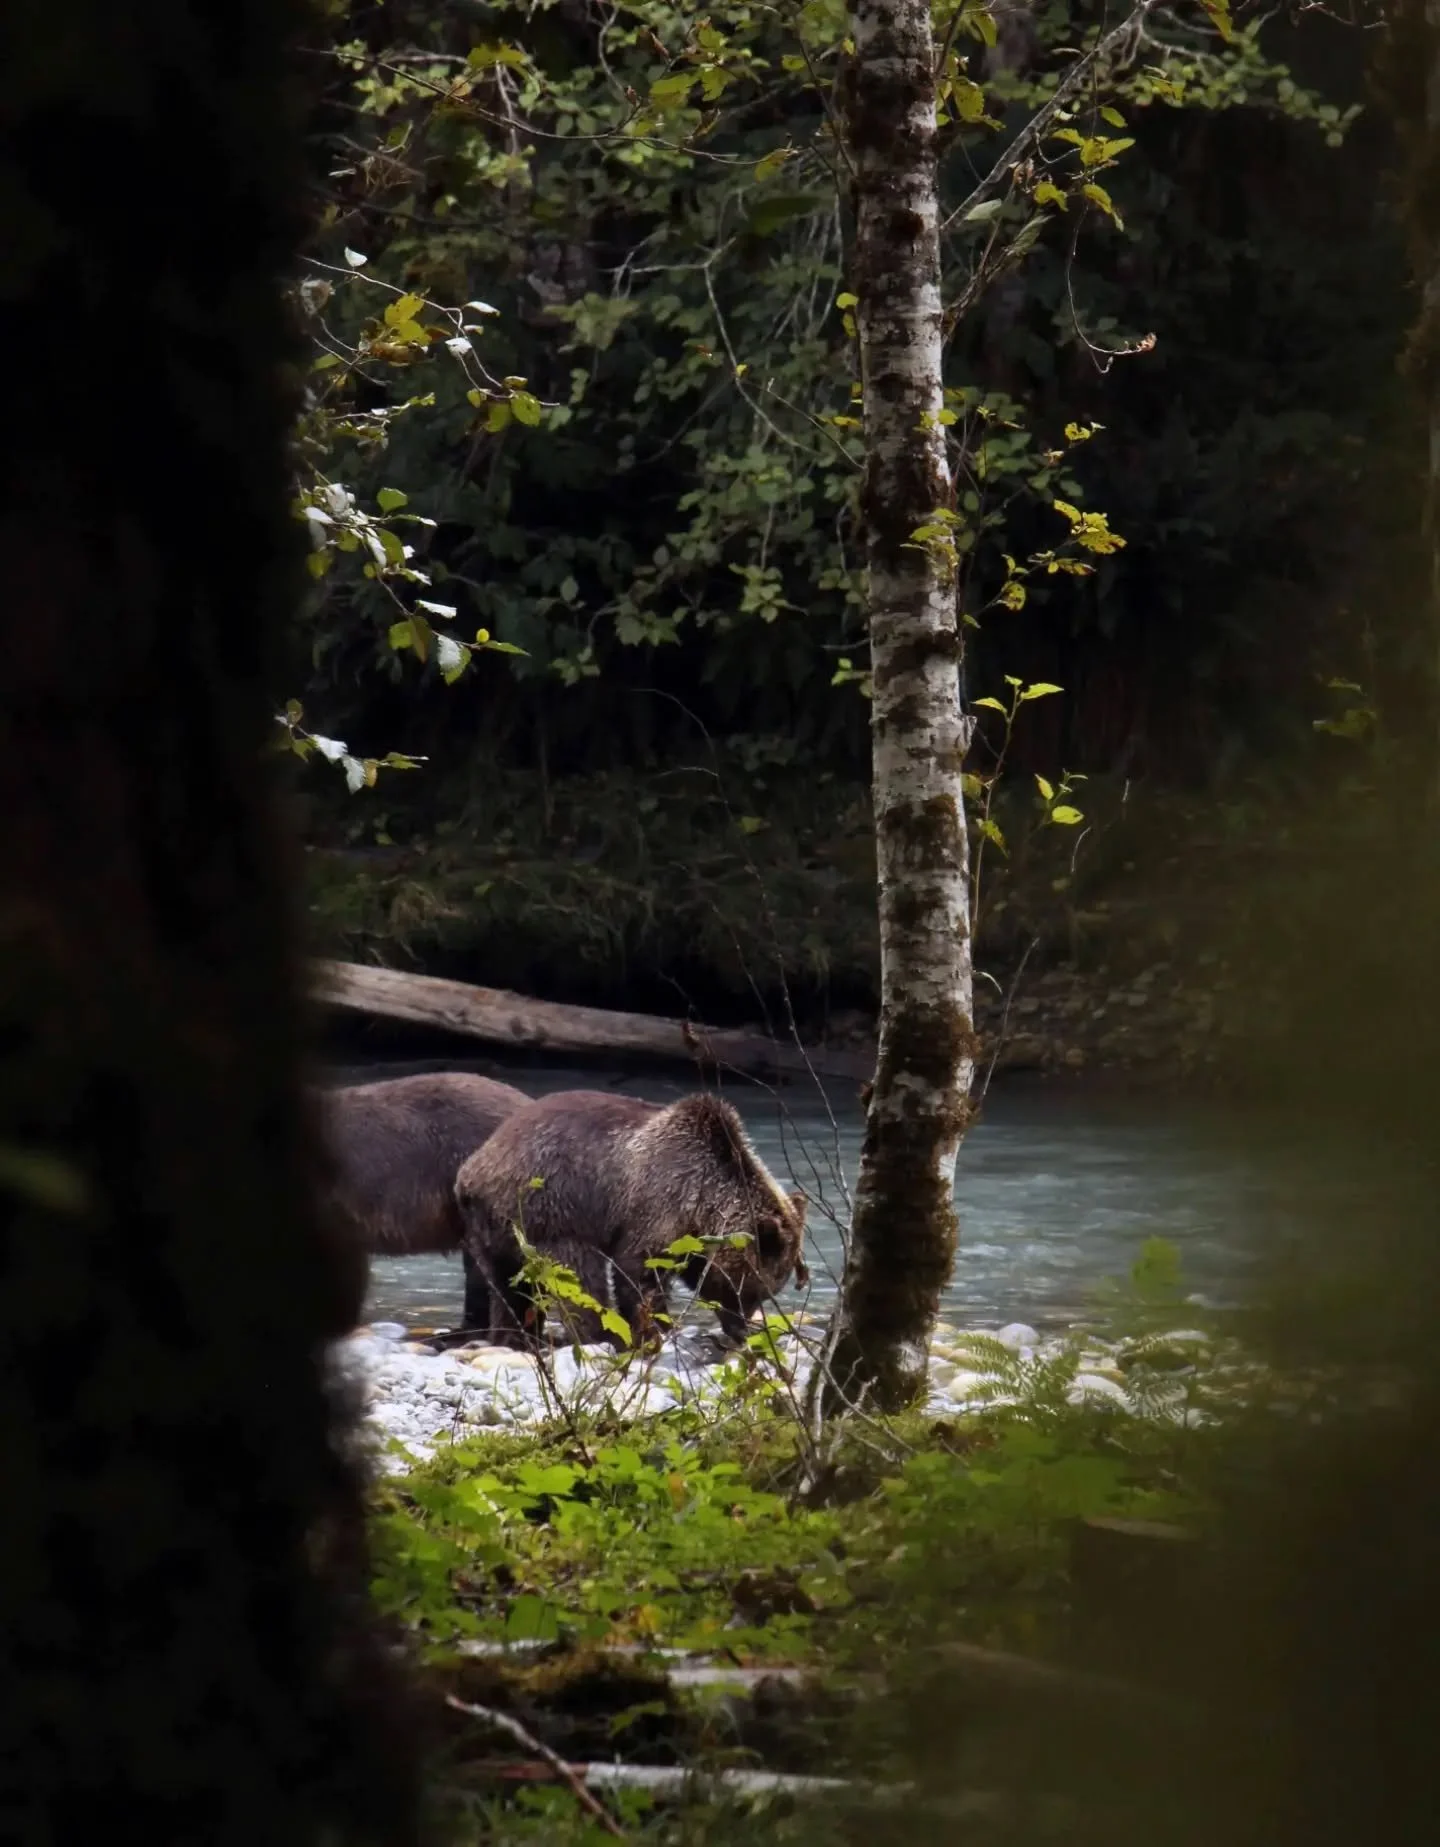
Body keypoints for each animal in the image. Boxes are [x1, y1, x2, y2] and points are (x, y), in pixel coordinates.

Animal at [452, 1088, 810, 1350]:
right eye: (752, 1289)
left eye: (766, 1293)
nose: (741, 1330)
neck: (703, 1198)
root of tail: (471, 1172)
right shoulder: (657, 1202)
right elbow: (639, 1271)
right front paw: (653, 1329)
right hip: (547, 1209)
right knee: (578, 1276)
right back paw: (598, 1333)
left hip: (492, 1229)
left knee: (507, 1285)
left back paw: (516, 1338)